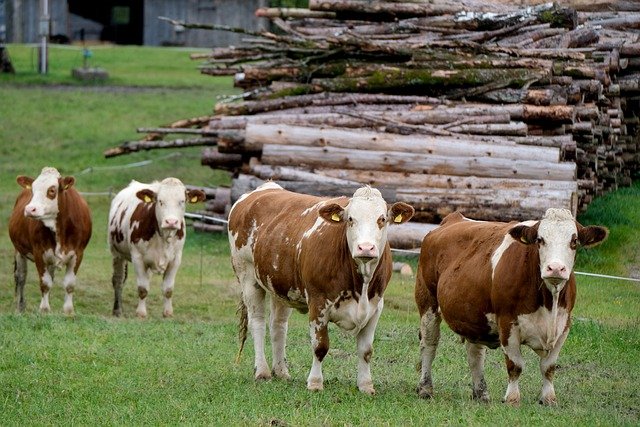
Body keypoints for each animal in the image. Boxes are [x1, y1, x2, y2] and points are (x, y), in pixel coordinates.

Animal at [8, 167, 92, 315]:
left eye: (52, 190)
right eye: (33, 189)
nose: (30, 209)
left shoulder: (78, 253)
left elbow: (69, 284)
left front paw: (68, 311)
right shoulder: (39, 252)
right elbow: (45, 283)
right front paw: (44, 309)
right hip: (19, 251)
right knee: (21, 277)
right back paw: (19, 307)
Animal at [108, 178, 206, 318]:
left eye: (182, 201)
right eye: (160, 201)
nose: (171, 222)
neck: (164, 237)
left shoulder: (176, 259)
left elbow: (168, 289)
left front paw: (168, 313)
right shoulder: (137, 258)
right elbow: (142, 288)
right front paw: (141, 313)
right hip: (117, 253)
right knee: (118, 280)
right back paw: (117, 309)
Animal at [228, 183, 414, 394]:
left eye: (382, 219)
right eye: (350, 219)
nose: (365, 248)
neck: (361, 286)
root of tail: (265, 187)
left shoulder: (376, 307)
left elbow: (366, 351)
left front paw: (366, 385)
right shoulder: (318, 303)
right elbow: (320, 346)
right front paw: (315, 383)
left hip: (280, 285)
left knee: (278, 325)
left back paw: (281, 371)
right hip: (247, 277)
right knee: (258, 323)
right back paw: (262, 371)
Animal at [415, 209, 608, 405]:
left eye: (574, 241)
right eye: (540, 240)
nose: (555, 268)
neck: (548, 304)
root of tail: (453, 218)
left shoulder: (564, 325)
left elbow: (548, 367)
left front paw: (548, 398)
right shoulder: (507, 323)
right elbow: (515, 365)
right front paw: (512, 399)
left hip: (475, 316)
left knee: (475, 354)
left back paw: (481, 393)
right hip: (427, 301)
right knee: (429, 343)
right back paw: (425, 388)